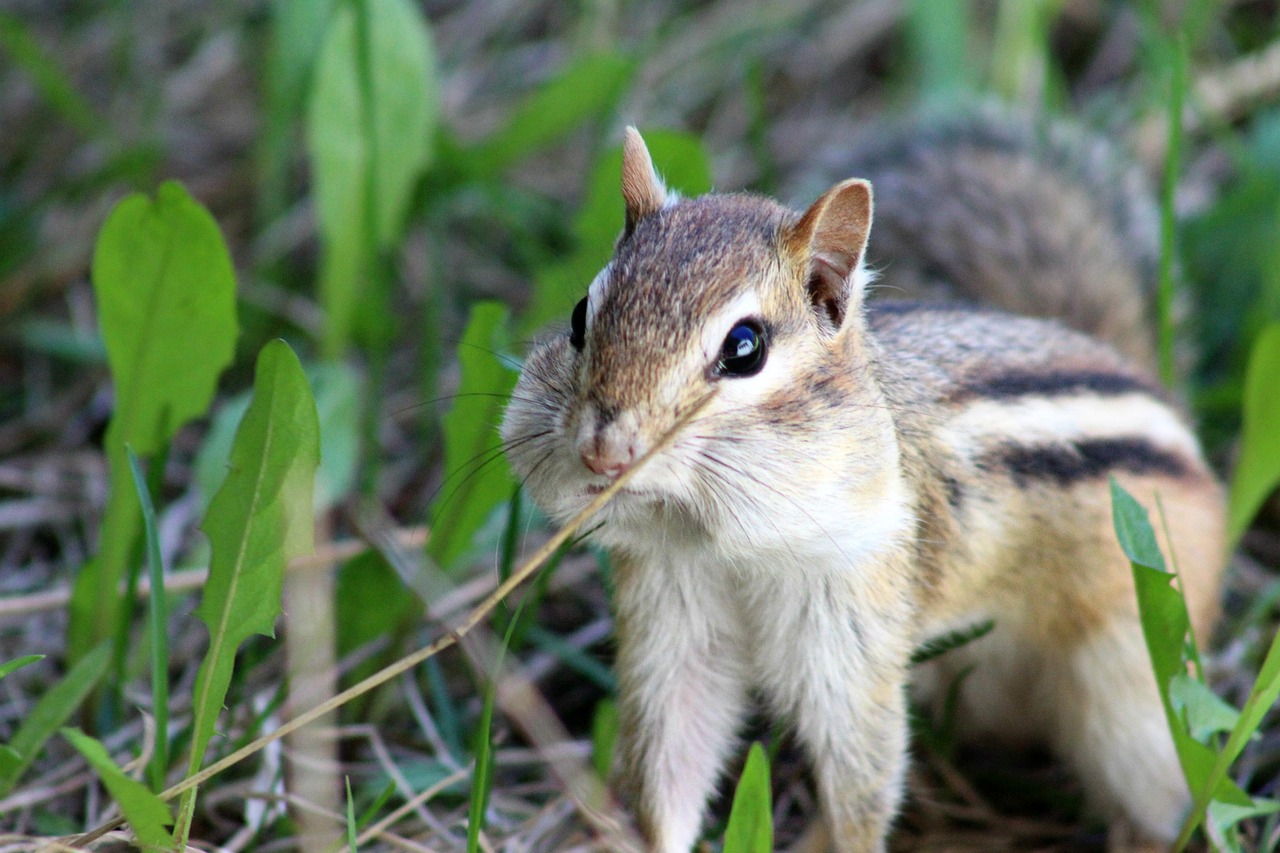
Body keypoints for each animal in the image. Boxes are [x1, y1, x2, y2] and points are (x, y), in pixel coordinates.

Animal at [500, 113, 1226, 852]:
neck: (718, 542)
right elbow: (672, 760)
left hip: (1136, 686)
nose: (604, 451)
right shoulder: (675, 627)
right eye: (579, 315)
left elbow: (861, 778)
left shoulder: (850, 628)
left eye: (745, 348)